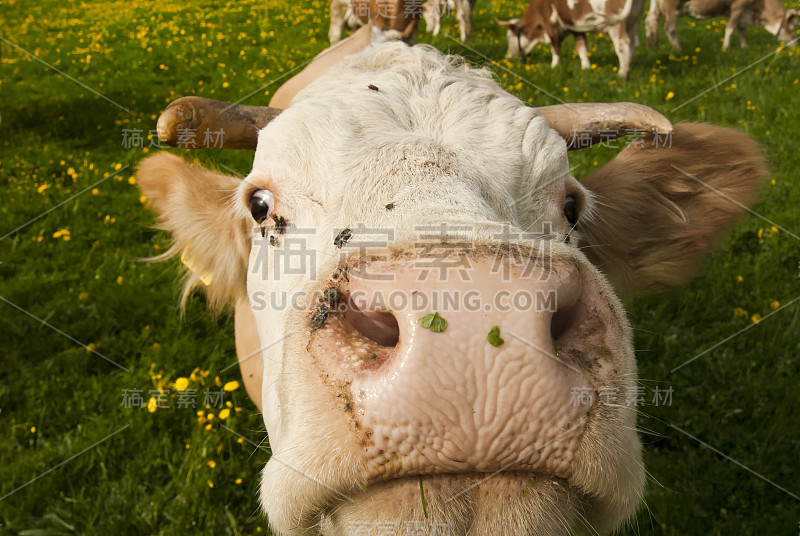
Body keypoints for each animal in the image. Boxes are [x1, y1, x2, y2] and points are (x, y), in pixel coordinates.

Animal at [496, 0, 648, 79]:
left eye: (508, 36)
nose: (507, 56)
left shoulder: (550, 22)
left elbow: (555, 46)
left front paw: (554, 65)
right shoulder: (576, 27)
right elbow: (581, 47)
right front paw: (586, 67)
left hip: (616, 21)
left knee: (622, 44)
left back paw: (621, 74)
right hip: (634, 18)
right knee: (634, 44)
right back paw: (627, 70)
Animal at [648, 0, 796, 50]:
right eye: (793, 28)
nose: (796, 46)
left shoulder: (743, 12)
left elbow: (742, 30)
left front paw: (744, 47)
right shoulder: (738, 6)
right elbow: (730, 28)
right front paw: (725, 48)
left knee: (650, 22)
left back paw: (652, 48)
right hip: (673, 8)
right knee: (670, 28)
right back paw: (678, 49)